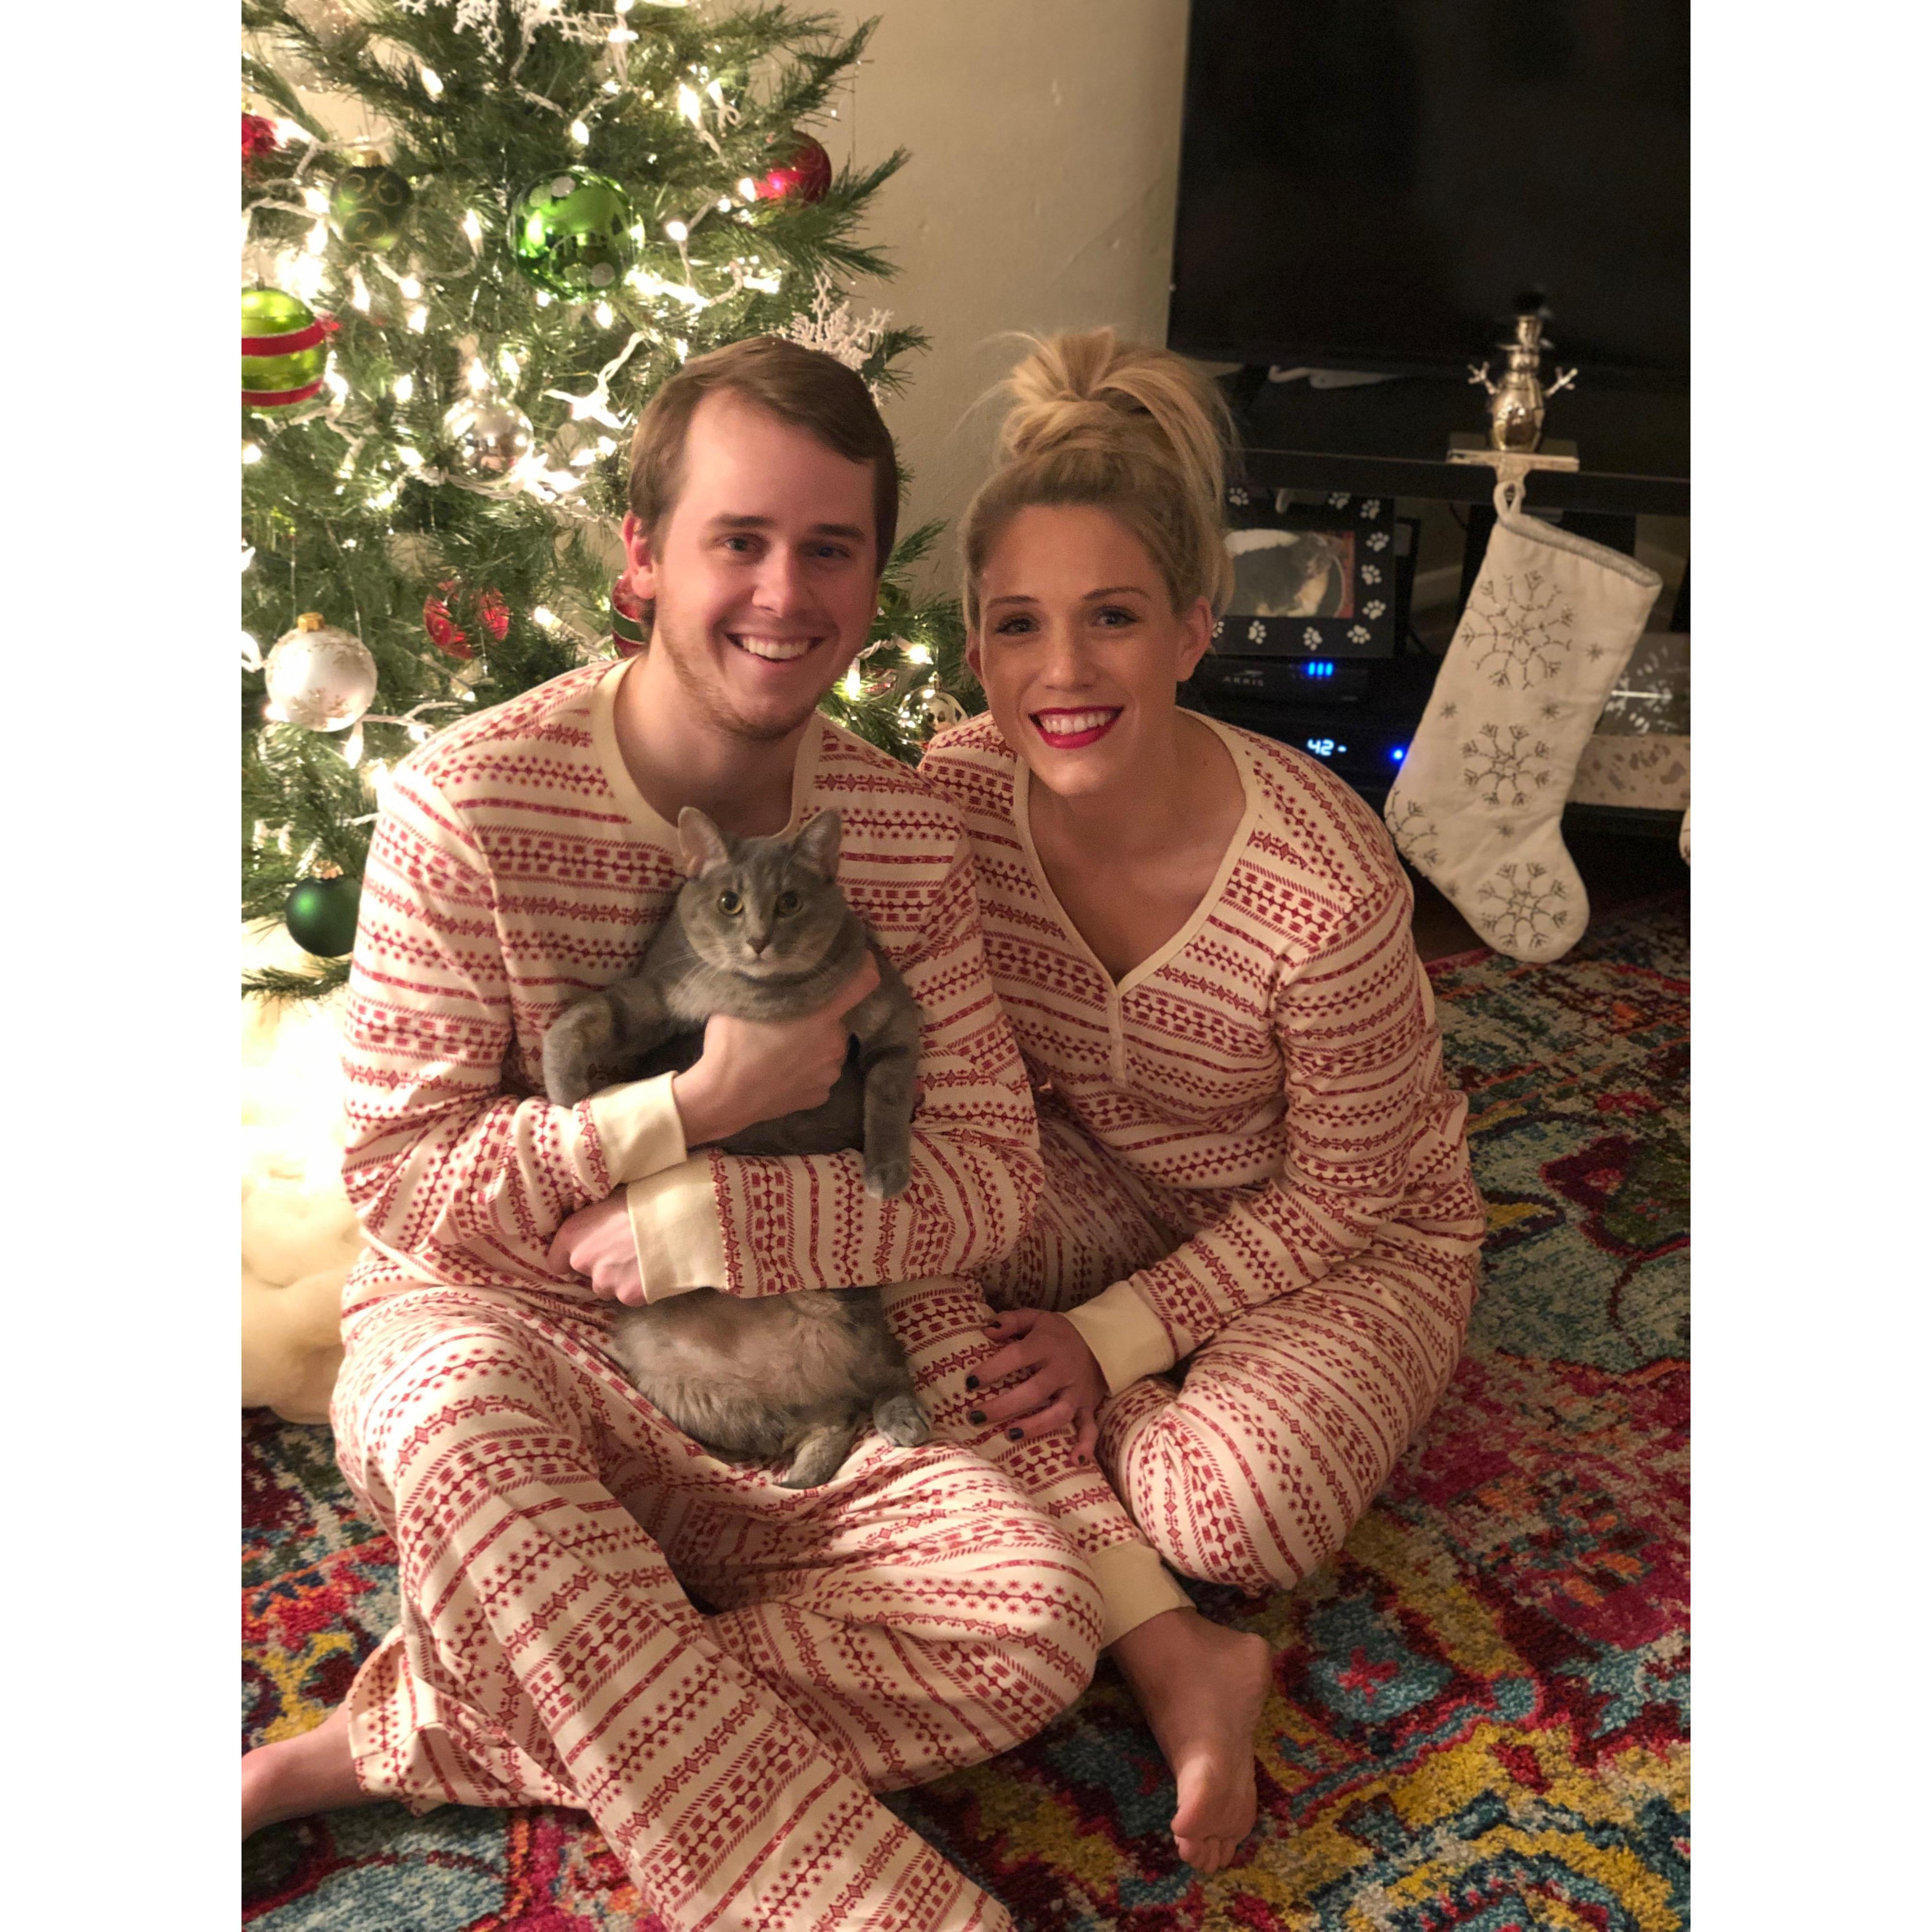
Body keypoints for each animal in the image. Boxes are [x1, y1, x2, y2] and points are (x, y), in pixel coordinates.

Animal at [542, 805, 930, 1489]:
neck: (762, 1002)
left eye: (791, 902)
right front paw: (566, 1090)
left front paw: (886, 1173)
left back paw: (900, 1423)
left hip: (853, 1323)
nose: (758, 940)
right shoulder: (655, 997)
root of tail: (807, 1374)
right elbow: (588, 1017)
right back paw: (803, 1468)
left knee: (886, 1374)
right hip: (688, 1387)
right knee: (828, 1419)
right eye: (730, 902)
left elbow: (886, 1099)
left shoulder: (892, 1023)